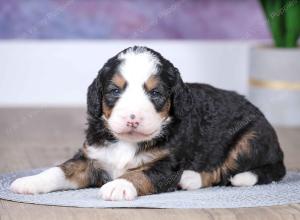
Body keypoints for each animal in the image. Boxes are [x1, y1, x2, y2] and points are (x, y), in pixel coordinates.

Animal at [9, 46, 286, 201]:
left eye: (156, 93)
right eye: (114, 90)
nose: (133, 117)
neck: (127, 142)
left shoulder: (167, 164)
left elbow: (142, 173)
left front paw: (118, 185)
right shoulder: (91, 158)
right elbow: (59, 170)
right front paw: (29, 182)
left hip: (250, 137)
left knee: (225, 169)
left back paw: (191, 179)